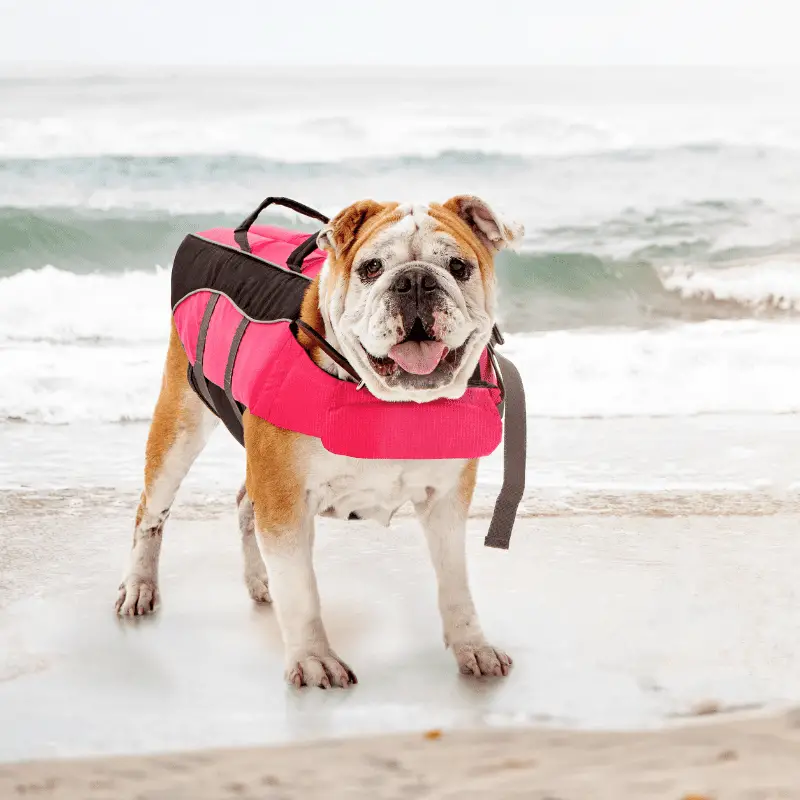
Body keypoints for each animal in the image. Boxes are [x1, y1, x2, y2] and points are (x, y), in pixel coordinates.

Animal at [115, 194, 520, 688]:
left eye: (458, 266)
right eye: (371, 267)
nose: (415, 281)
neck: (390, 401)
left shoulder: (446, 501)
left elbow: (455, 582)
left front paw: (472, 646)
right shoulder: (284, 498)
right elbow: (301, 590)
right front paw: (312, 658)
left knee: (243, 503)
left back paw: (259, 579)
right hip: (180, 423)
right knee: (151, 511)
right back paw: (140, 586)